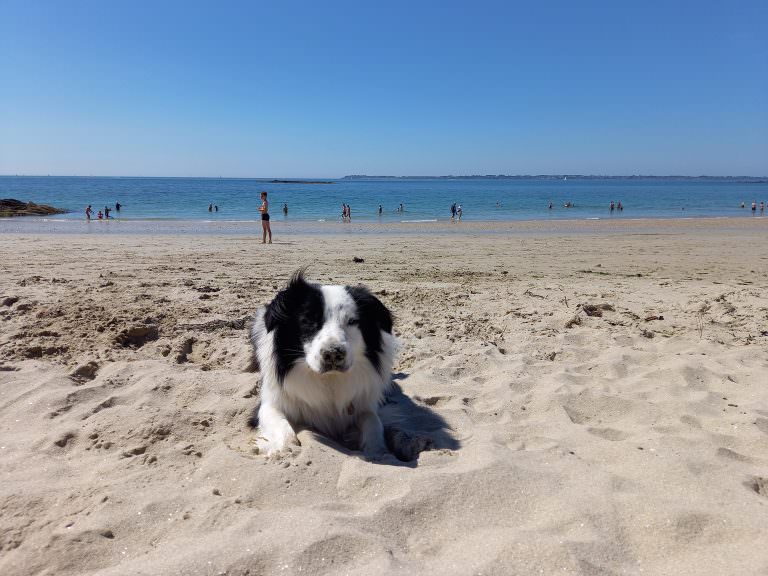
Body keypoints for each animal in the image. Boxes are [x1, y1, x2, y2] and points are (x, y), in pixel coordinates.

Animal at [250, 272, 396, 460]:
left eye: (352, 321)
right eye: (308, 320)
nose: (333, 354)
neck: (329, 379)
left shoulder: (363, 404)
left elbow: (373, 421)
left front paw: (377, 451)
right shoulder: (269, 404)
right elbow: (282, 426)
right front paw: (284, 450)